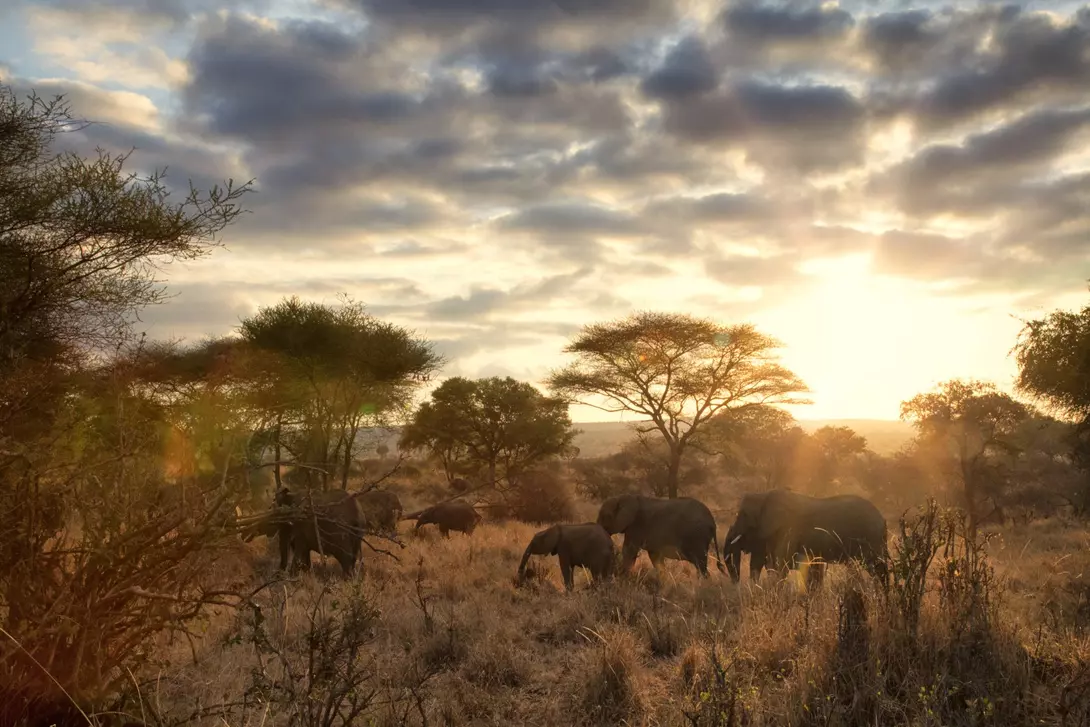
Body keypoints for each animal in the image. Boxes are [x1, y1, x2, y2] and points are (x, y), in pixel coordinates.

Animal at [596, 494, 726, 577]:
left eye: (605, 516)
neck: (624, 497)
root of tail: (712, 522)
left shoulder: (636, 526)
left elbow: (629, 550)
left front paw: (622, 576)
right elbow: (654, 556)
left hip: (696, 536)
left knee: (700, 564)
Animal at [722, 489, 889, 587]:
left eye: (743, 515)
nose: (735, 583)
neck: (764, 495)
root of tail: (882, 519)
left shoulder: (789, 529)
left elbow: (780, 564)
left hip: (871, 538)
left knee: (876, 567)